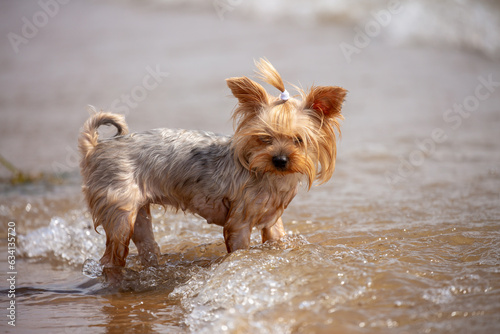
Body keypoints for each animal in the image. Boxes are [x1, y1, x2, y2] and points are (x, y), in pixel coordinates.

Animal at [79, 59, 348, 272]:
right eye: (264, 138)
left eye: (299, 140)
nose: (280, 160)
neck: (270, 176)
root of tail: (96, 148)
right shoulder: (239, 223)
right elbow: (239, 248)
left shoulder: (272, 222)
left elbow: (276, 240)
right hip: (120, 213)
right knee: (111, 257)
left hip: (138, 214)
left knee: (145, 245)